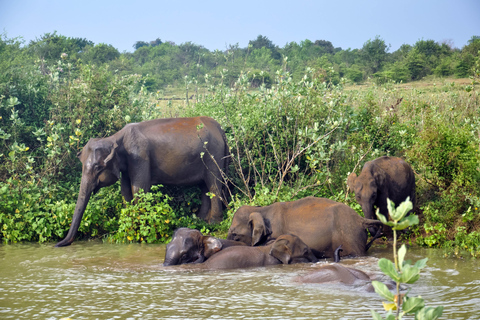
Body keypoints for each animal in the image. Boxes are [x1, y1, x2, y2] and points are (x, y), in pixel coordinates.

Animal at [55, 117, 229, 248]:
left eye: (98, 168)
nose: (57, 244)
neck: (114, 138)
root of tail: (220, 128)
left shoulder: (139, 156)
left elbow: (139, 188)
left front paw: (139, 229)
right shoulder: (127, 164)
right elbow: (125, 191)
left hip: (214, 153)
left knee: (214, 184)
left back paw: (213, 223)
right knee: (204, 186)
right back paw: (200, 220)